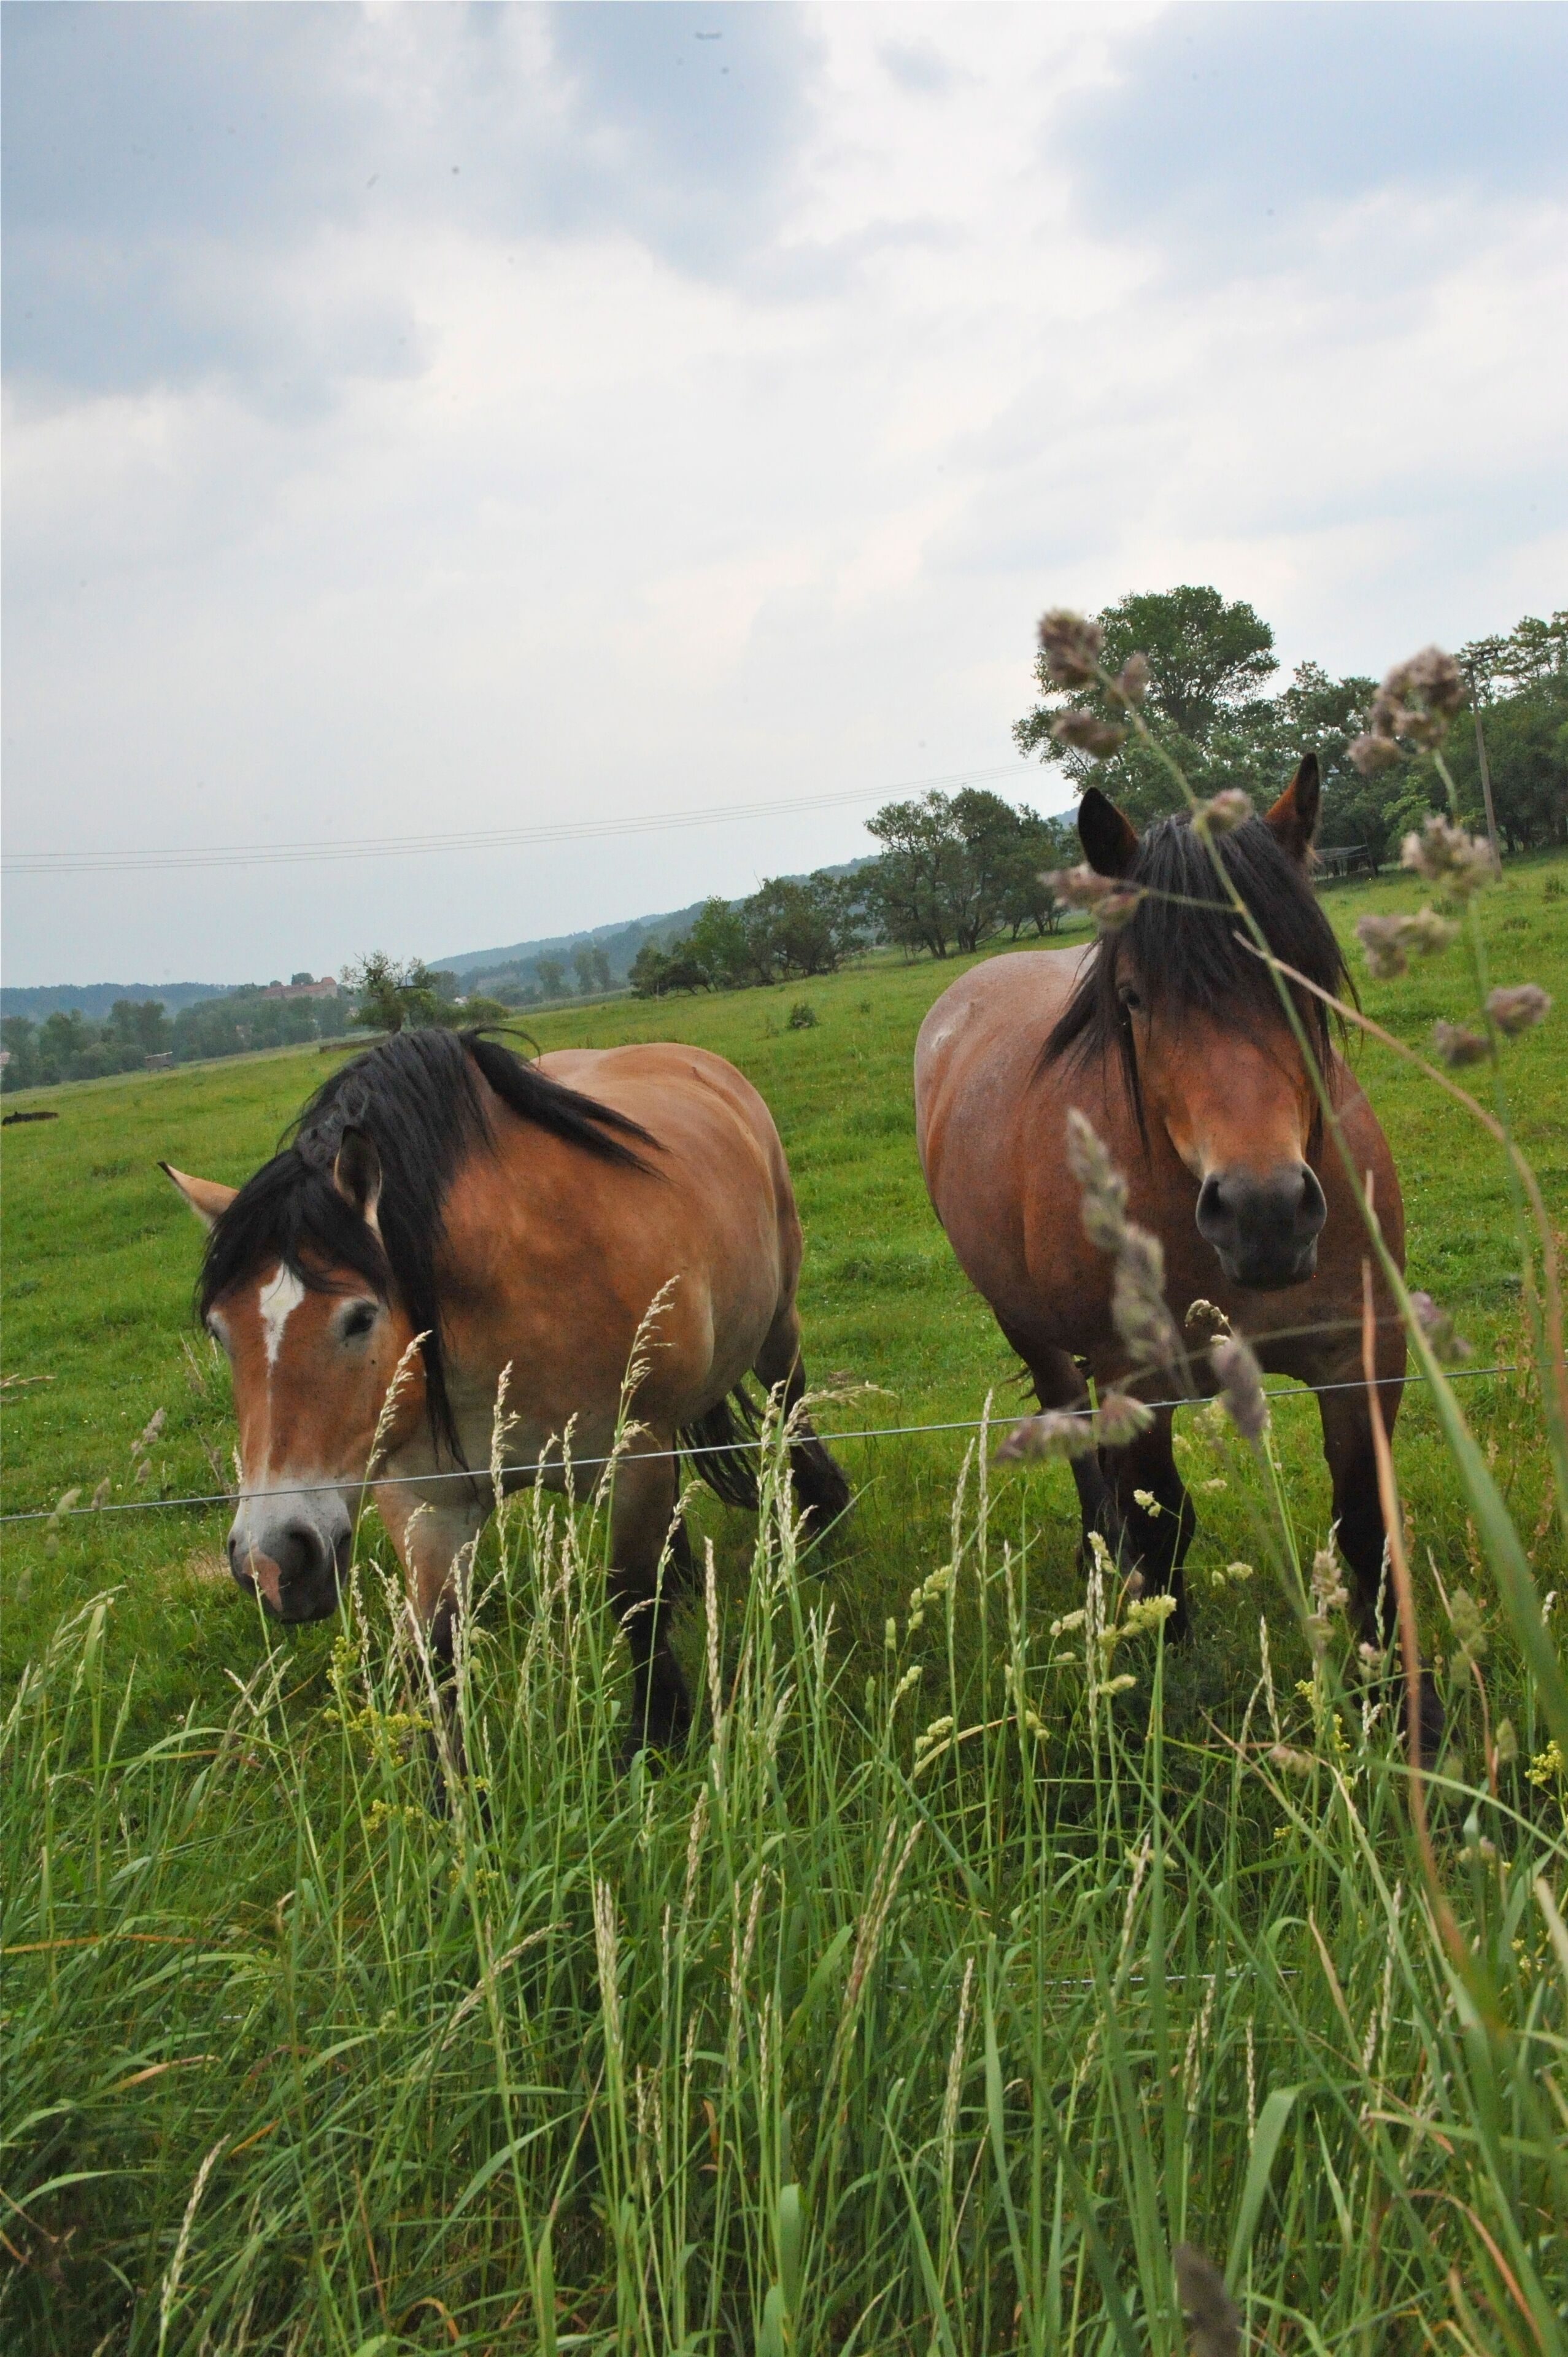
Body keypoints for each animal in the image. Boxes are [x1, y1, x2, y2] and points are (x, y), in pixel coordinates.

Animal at [160, 1027, 850, 1752]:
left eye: (359, 1318)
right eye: (219, 1333)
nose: (272, 1560)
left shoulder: (632, 1458)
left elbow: (634, 1600)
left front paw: (657, 1733)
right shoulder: (426, 1504)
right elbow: (438, 1645)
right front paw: (450, 1778)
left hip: (775, 1328)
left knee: (789, 1402)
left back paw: (821, 1508)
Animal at [915, 758, 1424, 1716]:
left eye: (1300, 977)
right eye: (1132, 998)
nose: (1263, 1212)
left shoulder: (1359, 1356)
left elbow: (1367, 1533)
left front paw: (1411, 1715)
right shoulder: (1137, 1383)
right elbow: (1163, 1533)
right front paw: (1159, 1691)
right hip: (1031, 1332)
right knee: (1073, 1433)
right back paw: (1096, 1555)